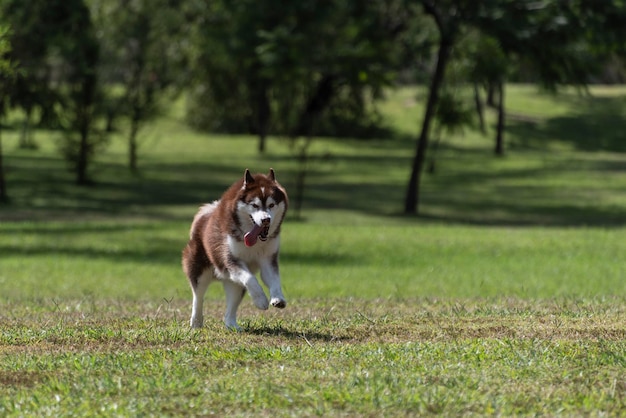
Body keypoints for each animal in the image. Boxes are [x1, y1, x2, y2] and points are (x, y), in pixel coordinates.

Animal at [180, 167, 288, 330]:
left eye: (271, 205)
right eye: (255, 205)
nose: (266, 220)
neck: (254, 241)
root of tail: (205, 213)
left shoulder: (268, 258)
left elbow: (274, 279)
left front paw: (277, 298)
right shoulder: (230, 259)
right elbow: (251, 279)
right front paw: (261, 300)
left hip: (233, 282)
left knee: (232, 301)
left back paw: (231, 324)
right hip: (200, 269)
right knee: (198, 296)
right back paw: (196, 322)